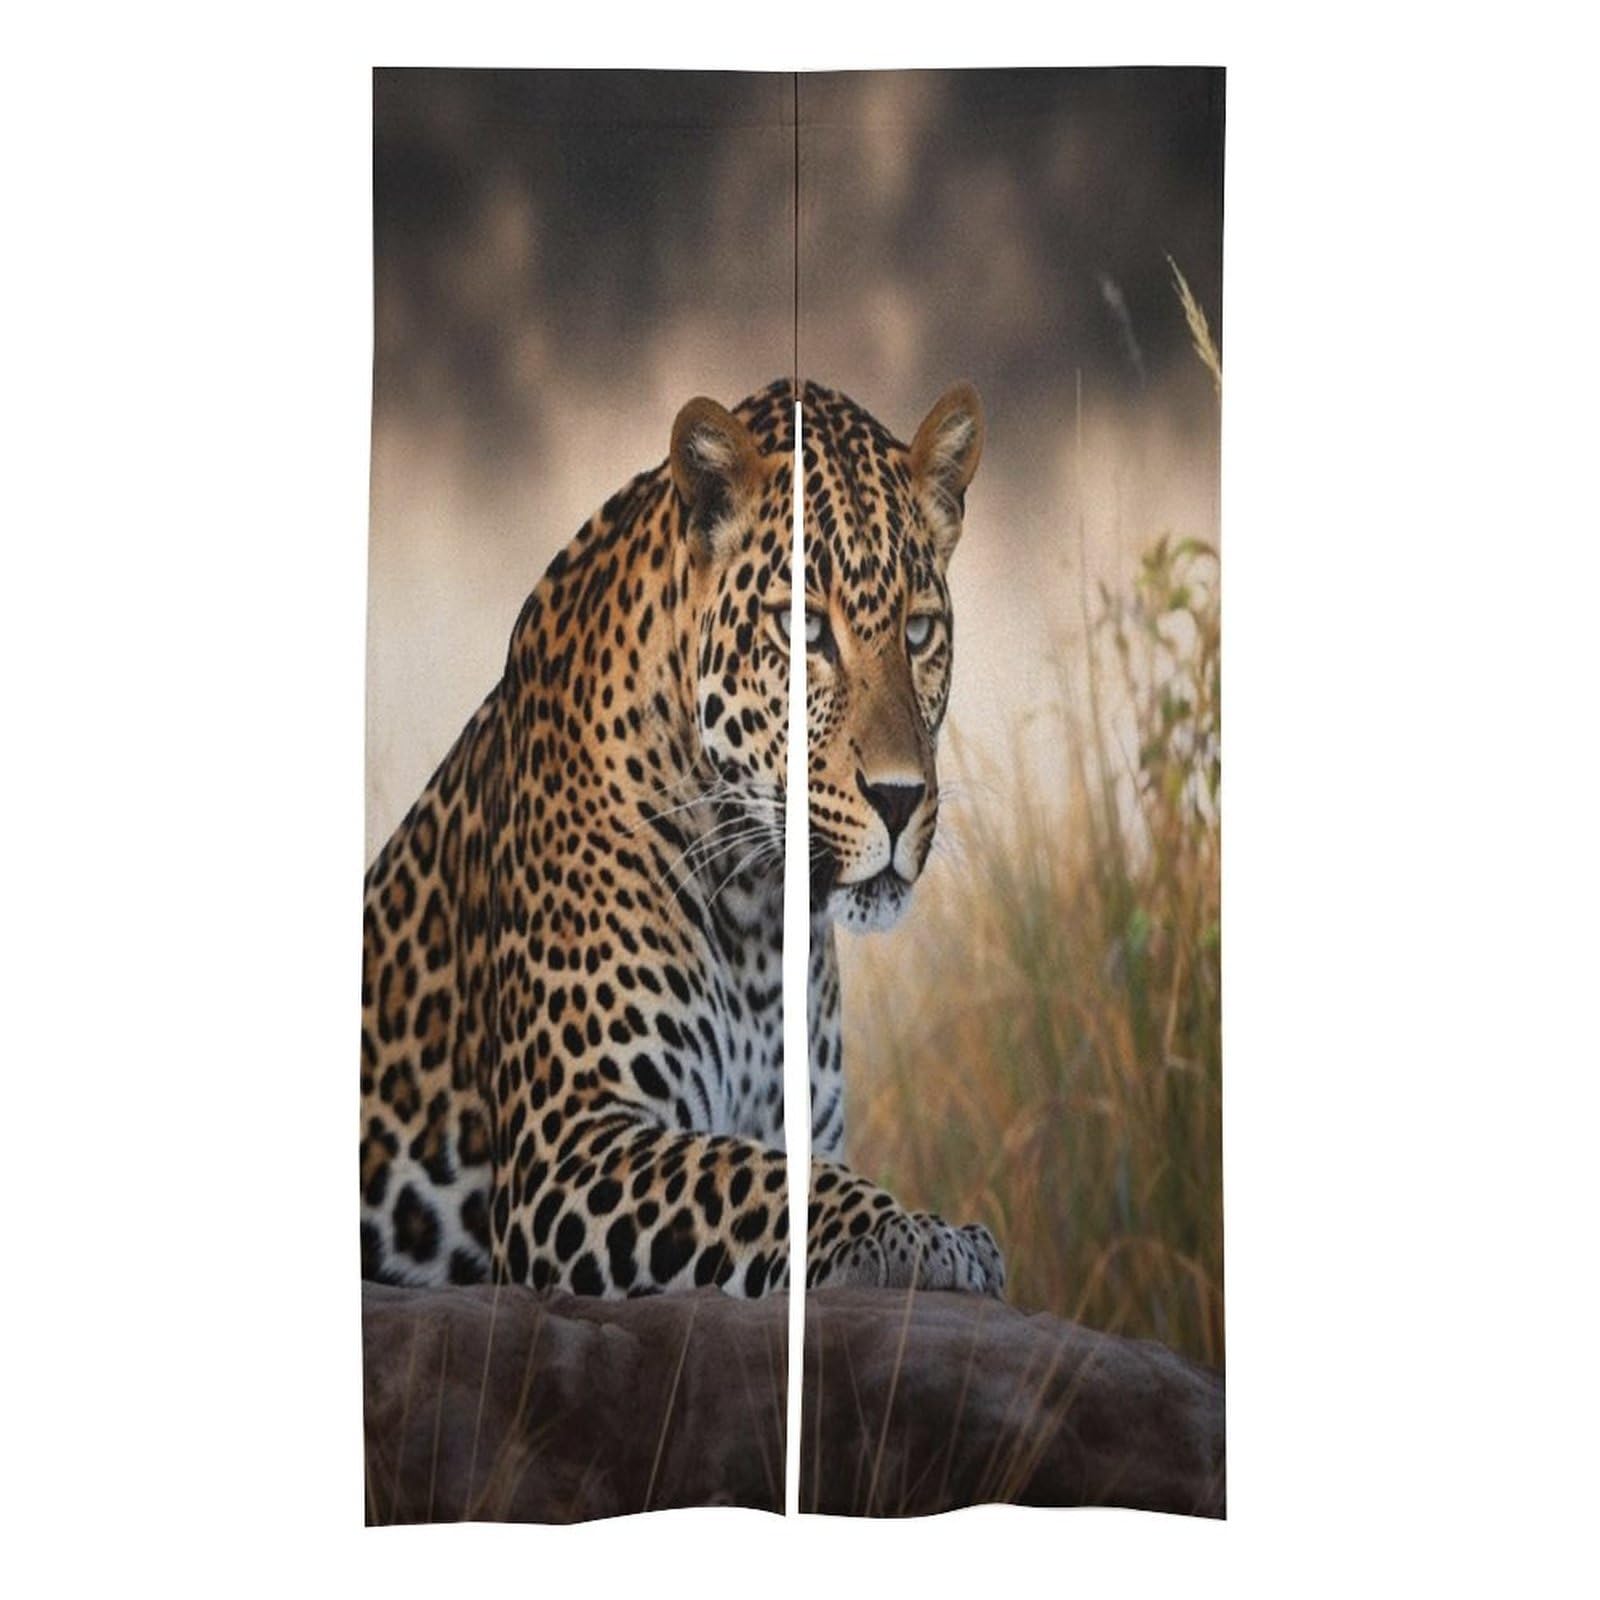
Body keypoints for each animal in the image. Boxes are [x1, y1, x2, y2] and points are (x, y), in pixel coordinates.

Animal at [360, 377, 1004, 1300]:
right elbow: (751, 1178)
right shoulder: (567, 1148)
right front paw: (918, 1235)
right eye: (805, 629)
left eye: (917, 632)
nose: (898, 798)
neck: (761, 907)